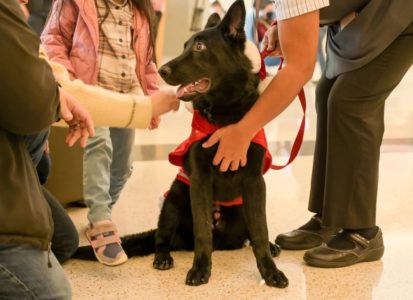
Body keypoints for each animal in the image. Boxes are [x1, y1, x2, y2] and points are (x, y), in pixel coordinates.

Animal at [73, 0, 286, 288]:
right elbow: (202, 233)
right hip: (175, 197)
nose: (162, 70)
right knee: (162, 238)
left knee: (250, 234)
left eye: (199, 47)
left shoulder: (254, 182)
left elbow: (260, 232)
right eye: (185, 45)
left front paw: (270, 271)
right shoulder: (199, 181)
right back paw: (163, 257)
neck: (224, 114)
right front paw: (200, 269)